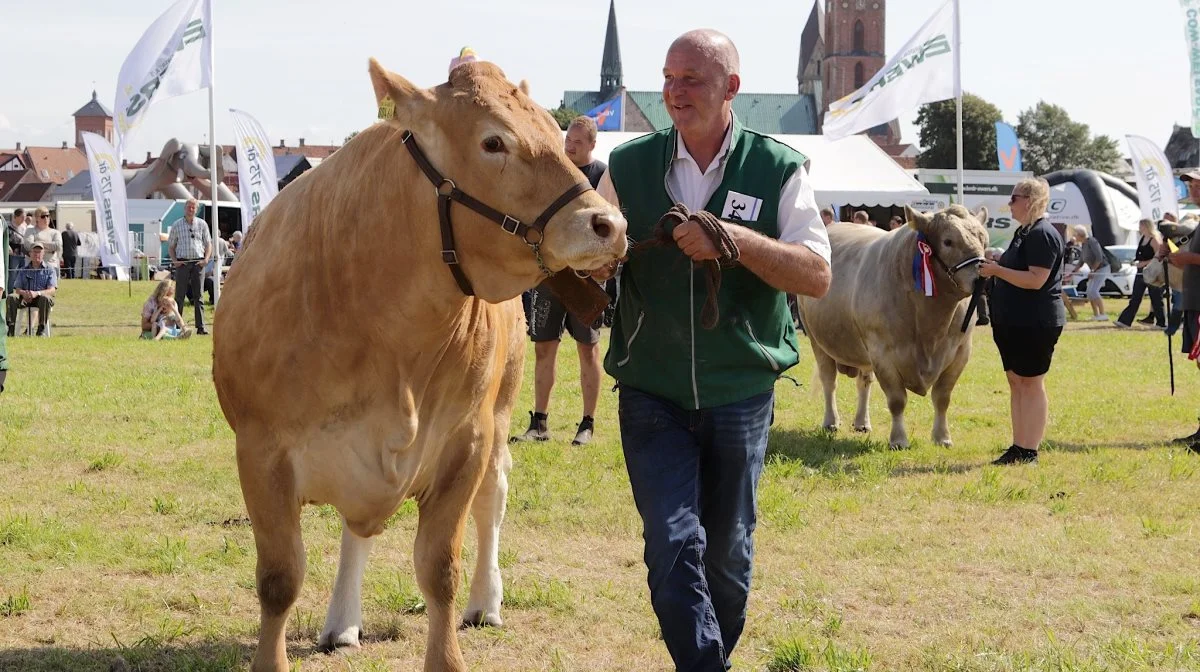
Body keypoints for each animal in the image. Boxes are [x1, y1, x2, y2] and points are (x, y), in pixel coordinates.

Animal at [212, 59, 628, 672]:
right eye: (492, 142)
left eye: (559, 139)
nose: (610, 225)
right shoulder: (260, 450)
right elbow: (279, 579)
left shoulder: (466, 440)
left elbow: (439, 570)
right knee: (357, 531)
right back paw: (343, 622)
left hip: (502, 411)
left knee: (492, 502)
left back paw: (487, 601)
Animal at [801, 205, 988, 446]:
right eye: (948, 241)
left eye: (984, 239)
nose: (981, 279)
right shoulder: (883, 352)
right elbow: (897, 400)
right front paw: (899, 439)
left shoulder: (961, 352)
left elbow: (942, 398)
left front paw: (942, 437)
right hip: (817, 338)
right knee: (829, 382)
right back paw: (831, 421)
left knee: (864, 382)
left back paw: (862, 422)